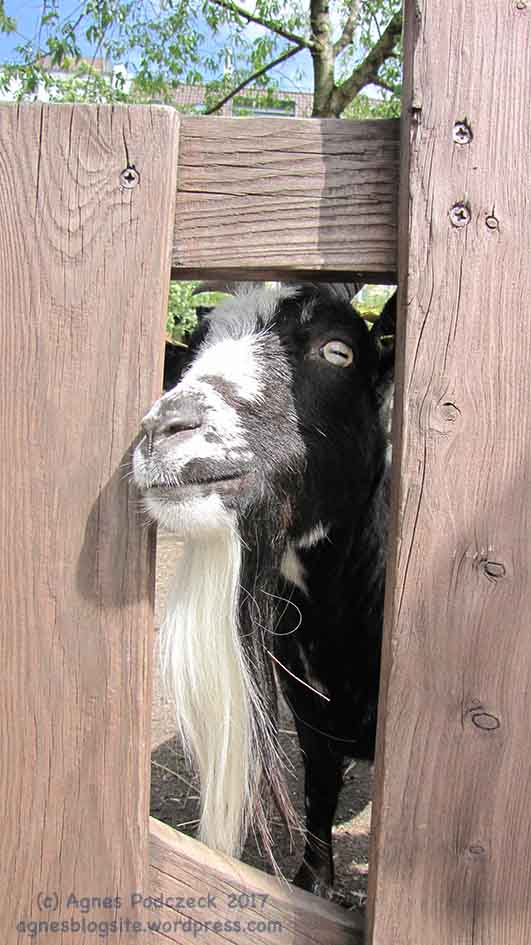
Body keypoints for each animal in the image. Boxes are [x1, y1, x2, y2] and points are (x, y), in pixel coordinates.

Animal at [133, 283, 394, 897]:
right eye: (190, 352)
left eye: (338, 351)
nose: (163, 428)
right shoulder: (309, 712)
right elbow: (319, 792)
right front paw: (313, 883)